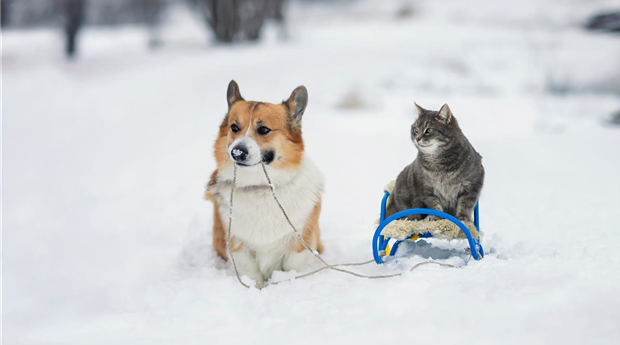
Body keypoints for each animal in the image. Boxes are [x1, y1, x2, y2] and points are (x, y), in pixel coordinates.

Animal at [207, 80, 326, 284]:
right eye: (234, 127)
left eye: (263, 130)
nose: (237, 152)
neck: (261, 186)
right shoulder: (239, 247)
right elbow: (252, 276)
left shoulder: (298, 242)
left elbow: (291, 267)